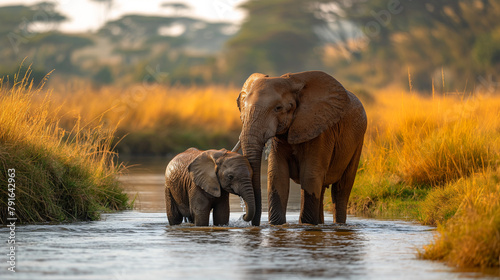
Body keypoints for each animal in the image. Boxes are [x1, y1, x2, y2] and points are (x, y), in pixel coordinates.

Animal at [231, 70, 368, 225]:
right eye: (244, 108)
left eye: (278, 108)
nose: (244, 217)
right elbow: (277, 175)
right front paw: (277, 225)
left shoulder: (320, 129)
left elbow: (309, 175)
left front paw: (306, 225)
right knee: (321, 188)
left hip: (358, 140)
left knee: (341, 189)